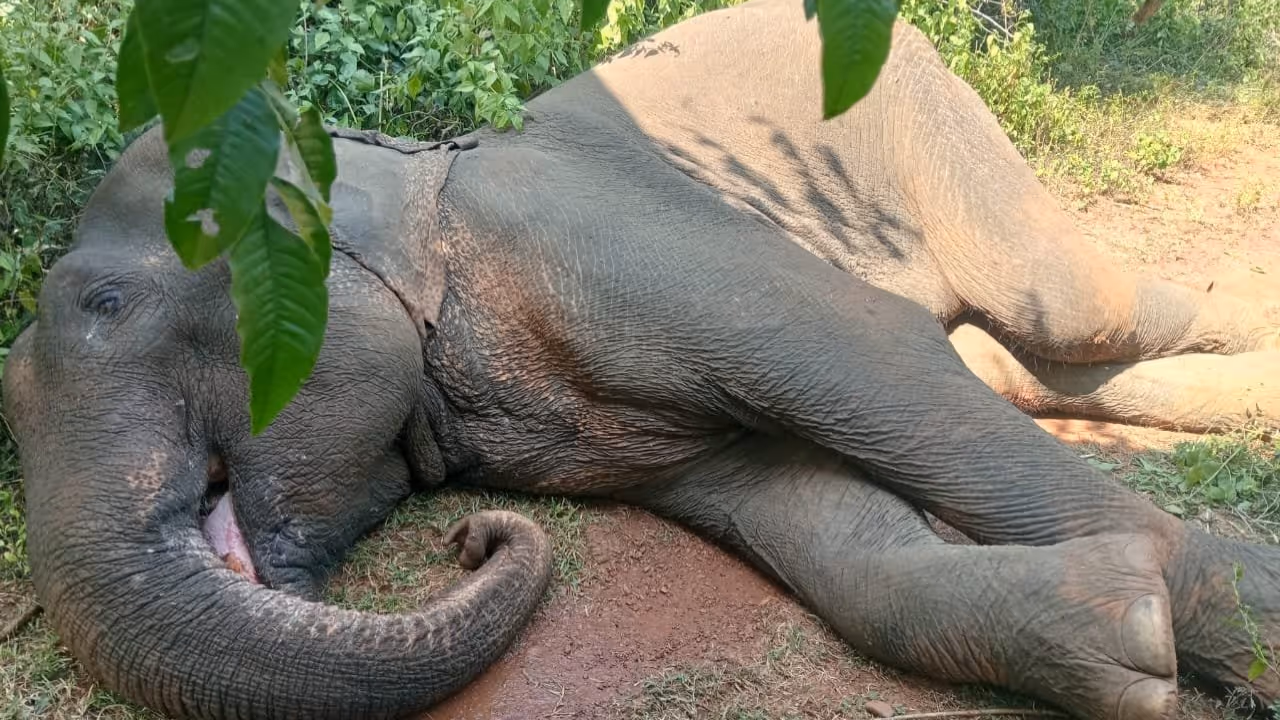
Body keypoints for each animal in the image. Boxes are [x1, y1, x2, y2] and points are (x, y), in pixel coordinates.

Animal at [6, 0, 1280, 718]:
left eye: (106, 302)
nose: (476, 538)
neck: (405, 183)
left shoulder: (611, 239)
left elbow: (883, 366)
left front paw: (1237, 632)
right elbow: (827, 533)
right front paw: (1124, 641)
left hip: (932, 121)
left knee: (1073, 310)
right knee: (1029, 360)